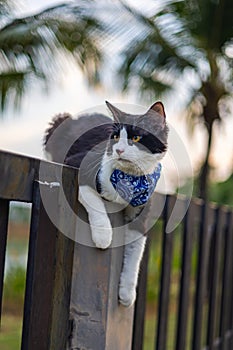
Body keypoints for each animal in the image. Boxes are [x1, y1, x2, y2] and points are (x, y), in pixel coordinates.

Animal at [43, 101, 167, 306]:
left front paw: (127, 292)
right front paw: (103, 236)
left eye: (136, 137)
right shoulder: (75, 166)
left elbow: (136, 250)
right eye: (116, 137)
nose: (119, 150)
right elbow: (94, 201)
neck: (127, 179)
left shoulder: (142, 207)